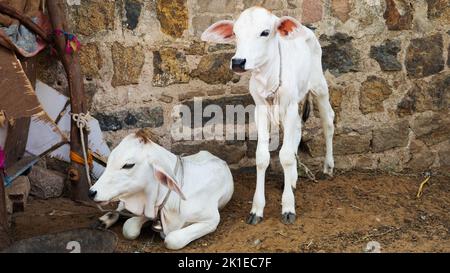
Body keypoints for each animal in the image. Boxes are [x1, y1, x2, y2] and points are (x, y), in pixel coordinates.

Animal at [89, 130, 234, 249]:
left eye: (128, 165)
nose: (91, 192)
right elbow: (129, 227)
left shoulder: (212, 220)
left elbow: (172, 239)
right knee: (119, 209)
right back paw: (104, 220)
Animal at [202, 6, 336, 223]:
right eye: (236, 34)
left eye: (265, 32)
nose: (238, 62)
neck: (268, 78)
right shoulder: (261, 109)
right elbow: (262, 157)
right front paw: (257, 209)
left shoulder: (290, 107)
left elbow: (286, 156)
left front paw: (288, 207)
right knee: (298, 131)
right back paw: (293, 179)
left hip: (319, 86)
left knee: (328, 121)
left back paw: (328, 166)